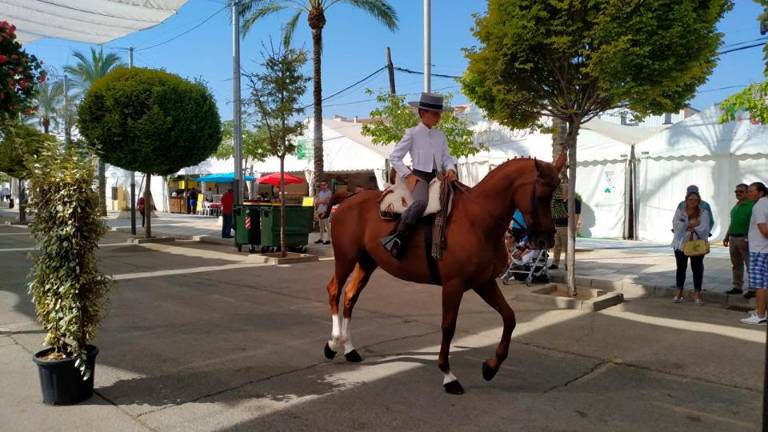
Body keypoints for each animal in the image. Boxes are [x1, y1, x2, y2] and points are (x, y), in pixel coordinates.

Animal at [322, 156, 564, 394]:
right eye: (542, 196)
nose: (546, 240)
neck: (477, 220)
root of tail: (350, 197)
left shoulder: (484, 283)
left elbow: (510, 317)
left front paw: (491, 367)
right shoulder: (453, 285)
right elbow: (448, 327)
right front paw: (448, 376)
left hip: (367, 262)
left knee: (350, 296)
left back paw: (349, 349)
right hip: (345, 259)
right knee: (335, 290)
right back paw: (333, 343)